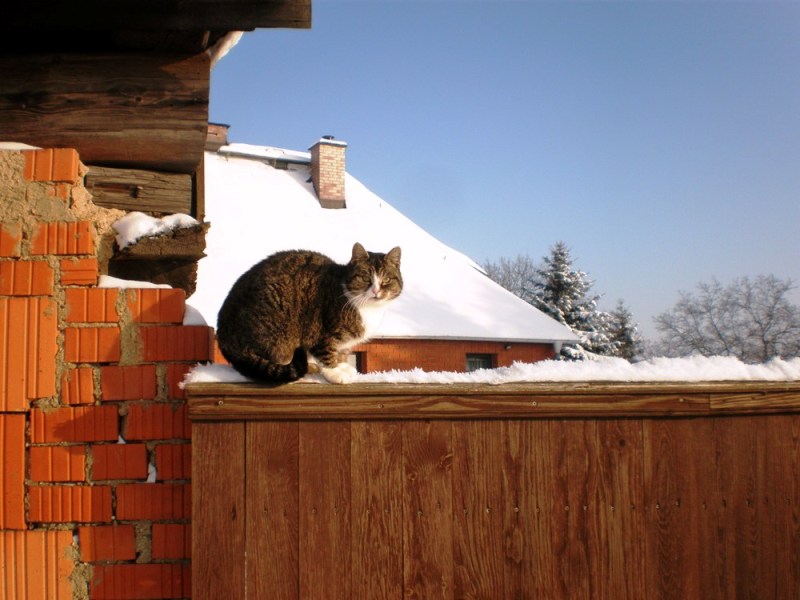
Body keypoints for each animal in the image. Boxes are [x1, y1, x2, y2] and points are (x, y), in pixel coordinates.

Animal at [214, 241, 400, 382]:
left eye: (386, 279)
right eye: (365, 277)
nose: (376, 290)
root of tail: (224, 337)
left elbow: (339, 353)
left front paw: (341, 365)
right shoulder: (321, 332)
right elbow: (325, 352)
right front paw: (334, 371)